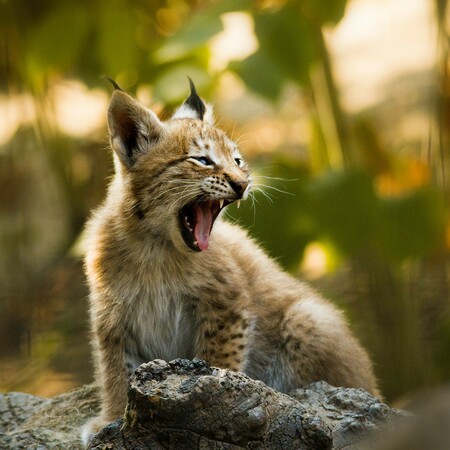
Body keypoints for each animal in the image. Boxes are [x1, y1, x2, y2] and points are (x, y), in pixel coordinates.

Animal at [81, 80, 380, 442]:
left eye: (238, 160)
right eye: (202, 160)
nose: (242, 183)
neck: (154, 248)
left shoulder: (227, 303)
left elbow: (217, 358)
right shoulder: (111, 316)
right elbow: (113, 370)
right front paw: (111, 419)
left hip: (307, 316)